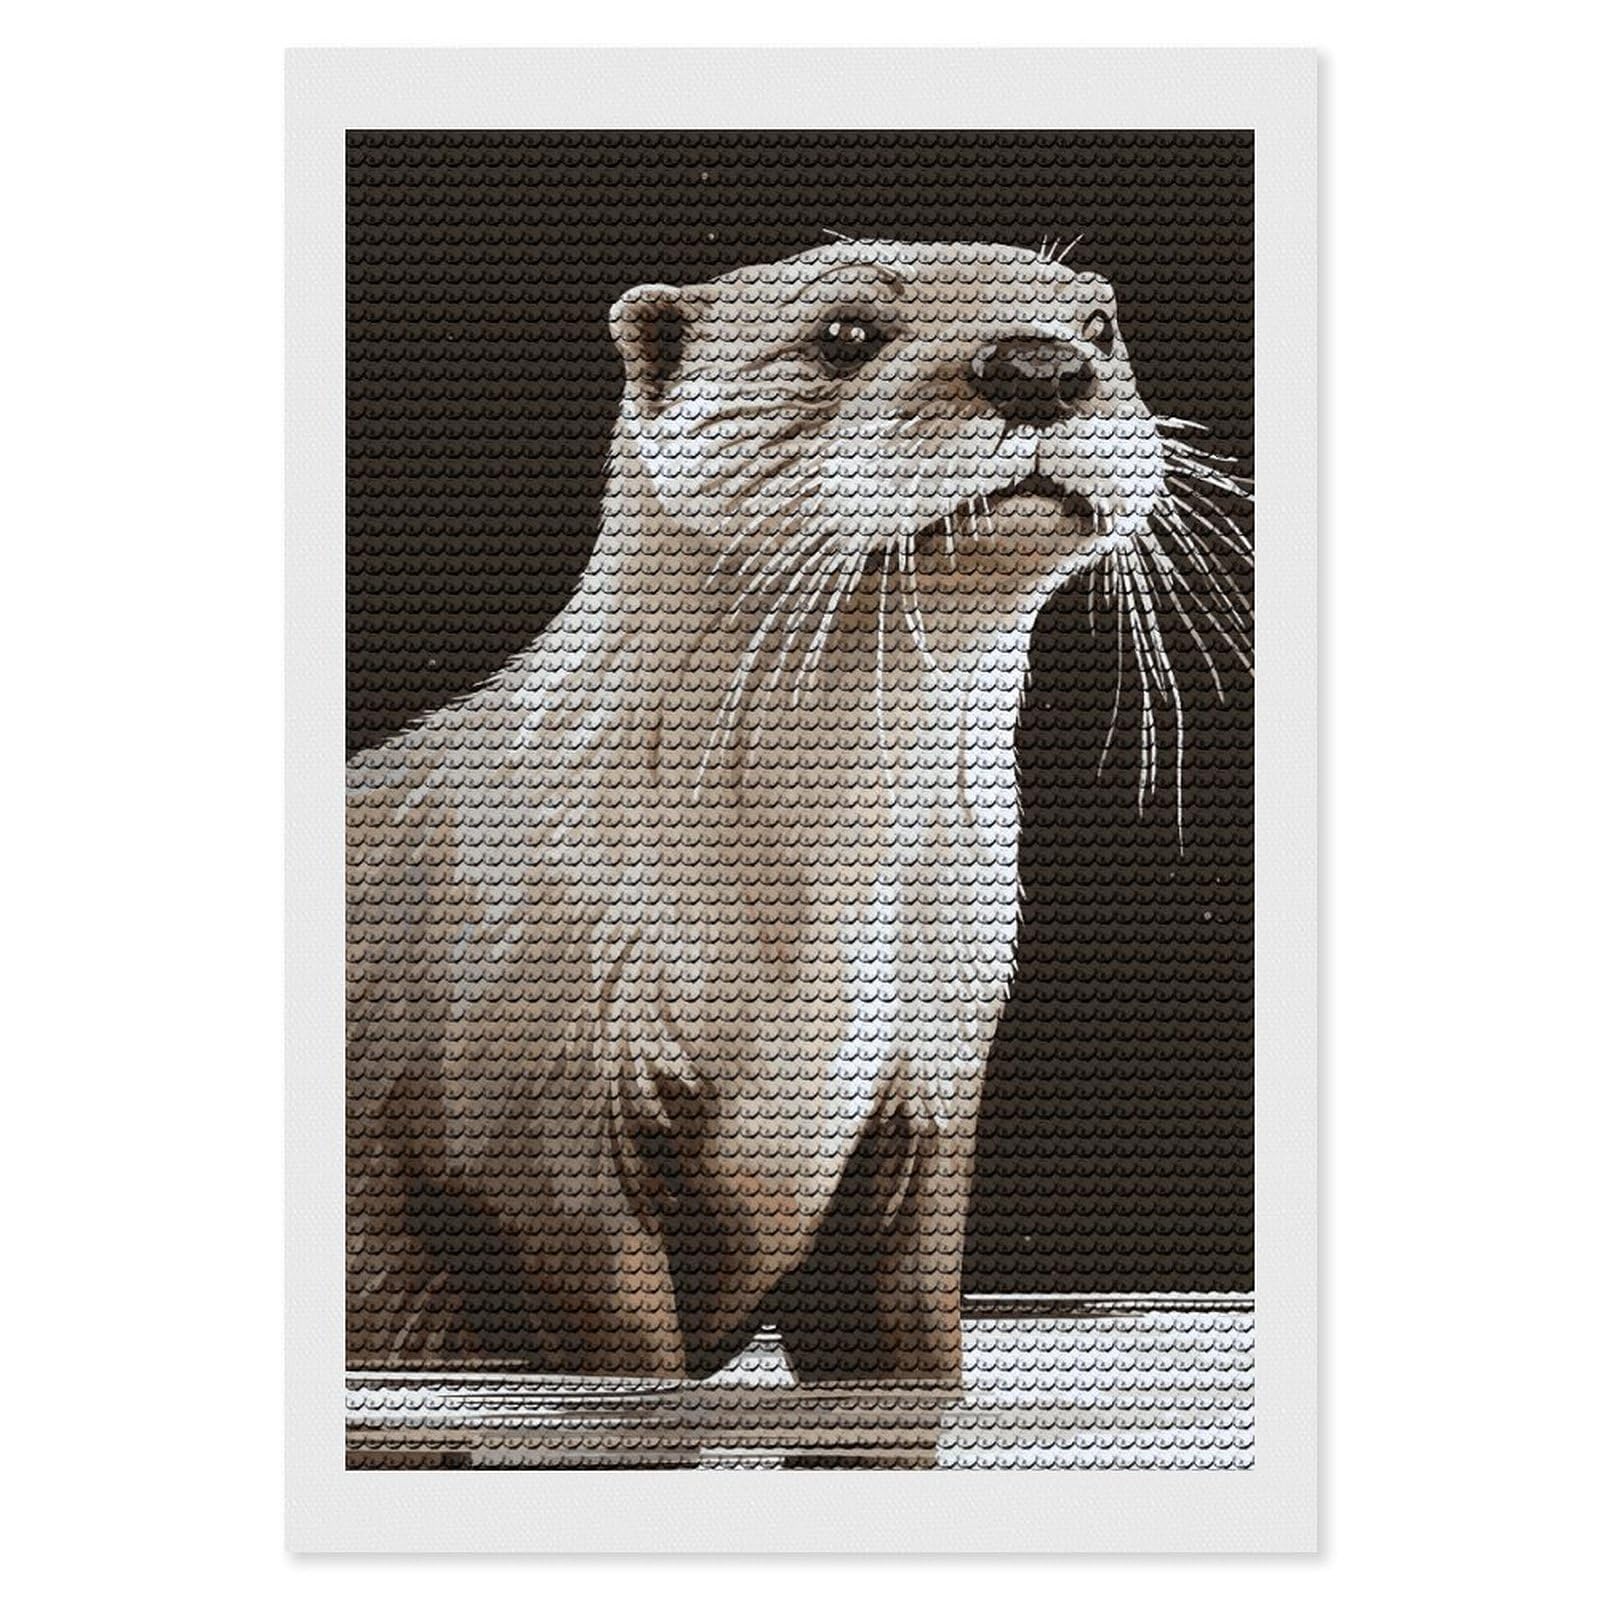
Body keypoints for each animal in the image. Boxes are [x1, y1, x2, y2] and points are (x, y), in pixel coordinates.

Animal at [347, 238, 1251, 1386]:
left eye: (1100, 326)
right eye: (845, 332)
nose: (1040, 367)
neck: (805, 927)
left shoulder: (933, 1081)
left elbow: (902, 1329)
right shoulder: (527, 1117)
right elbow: (617, 1332)